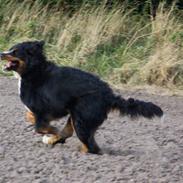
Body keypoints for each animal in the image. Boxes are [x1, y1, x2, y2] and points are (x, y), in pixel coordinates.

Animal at [0, 40, 163, 154]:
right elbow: (31, 117)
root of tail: (109, 95)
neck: (33, 70)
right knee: (72, 134)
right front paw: (52, 134)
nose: (1, 53)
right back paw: (54, 140)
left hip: (81, 119)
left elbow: (40, 127)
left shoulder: (42, 110)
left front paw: (52, 131)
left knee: (91, 148)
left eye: (15, 52)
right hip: (76, 115)